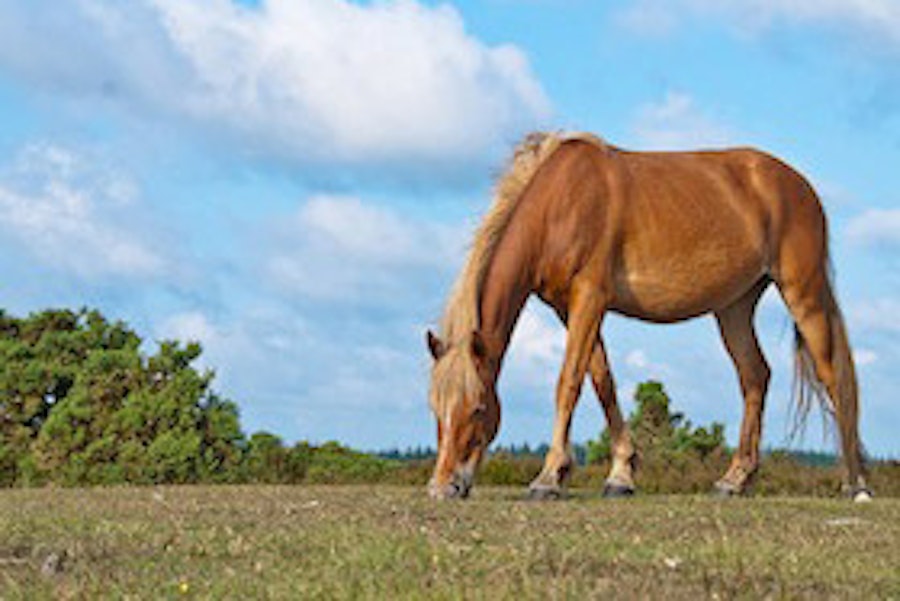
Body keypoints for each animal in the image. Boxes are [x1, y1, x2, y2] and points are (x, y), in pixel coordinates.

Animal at [428, 130, 872, 502]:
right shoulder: (569, 308)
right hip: (734, 306)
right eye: (435, 408)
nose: (443, 486)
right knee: (754, 376)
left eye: (478, 408)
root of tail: (798, 185)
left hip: (803, 293)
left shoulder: (589, 299)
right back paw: (735, 479)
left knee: (833, 377)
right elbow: (602, 381)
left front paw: (549, 477)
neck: (560, 203)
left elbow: (569, 382)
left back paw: (856, 484)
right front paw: (620, 475)